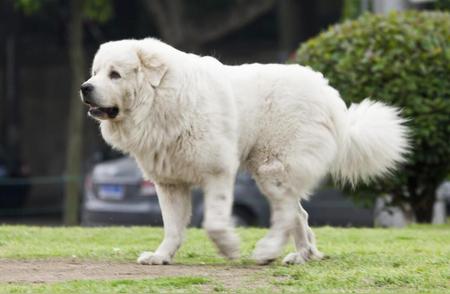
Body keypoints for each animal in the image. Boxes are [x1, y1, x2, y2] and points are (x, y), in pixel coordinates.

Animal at [79, 38, 410, 266]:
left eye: (115, 74)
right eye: (95, 72)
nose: (85, 87)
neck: (161, 99)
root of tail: (329, 94)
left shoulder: (218, 172)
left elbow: (213, 222)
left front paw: (229, 248)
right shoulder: (169, 183)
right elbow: (172, 227)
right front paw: (161, 256)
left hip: (271, 168)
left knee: (287, 213)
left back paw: (268, 251)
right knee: (299, 213)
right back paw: (302, 255)